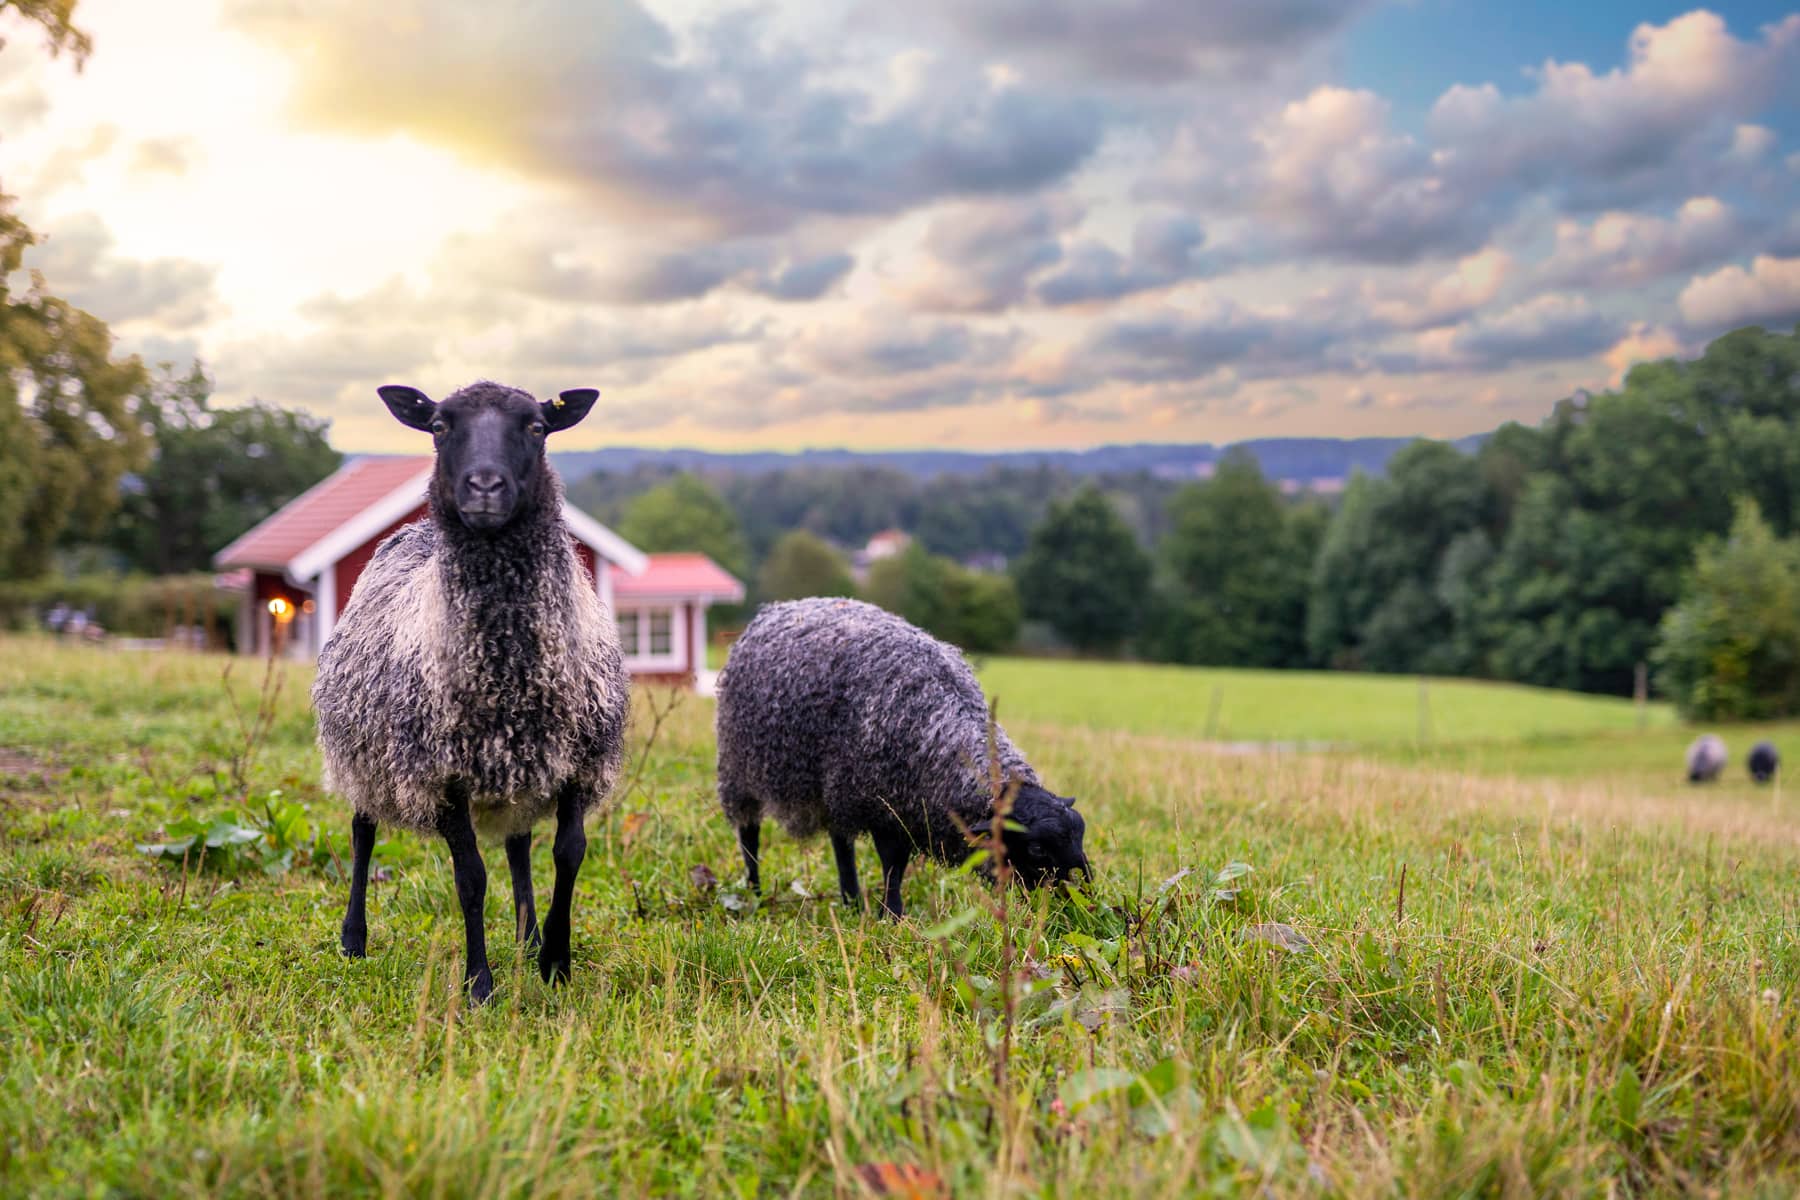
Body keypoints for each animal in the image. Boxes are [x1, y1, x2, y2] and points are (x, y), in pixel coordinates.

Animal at [316, 383, 633, 1007]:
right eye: (439, 426)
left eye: (537, 426)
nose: (484, 486)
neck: (508, 673)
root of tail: (414, 530)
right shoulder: (441, 775)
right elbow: (470, 879)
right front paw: (479, 984)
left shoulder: (579, 763)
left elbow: (568, 853)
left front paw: (555, 961)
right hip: (363, 753)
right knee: (363, 832)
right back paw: (354, 939)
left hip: (519, 767)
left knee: (517, 843)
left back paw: (528, 938)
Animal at [712, 597, 1080, 921]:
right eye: (1036, 849)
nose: (1072, 907)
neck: (937, 731)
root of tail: (779, 607)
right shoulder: (883, 808)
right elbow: (894, 865)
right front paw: (893, 916)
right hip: (739, 768)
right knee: (749, 835)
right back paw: (755, 893)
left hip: (835, 786)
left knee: (840, 842)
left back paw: (850, 901)